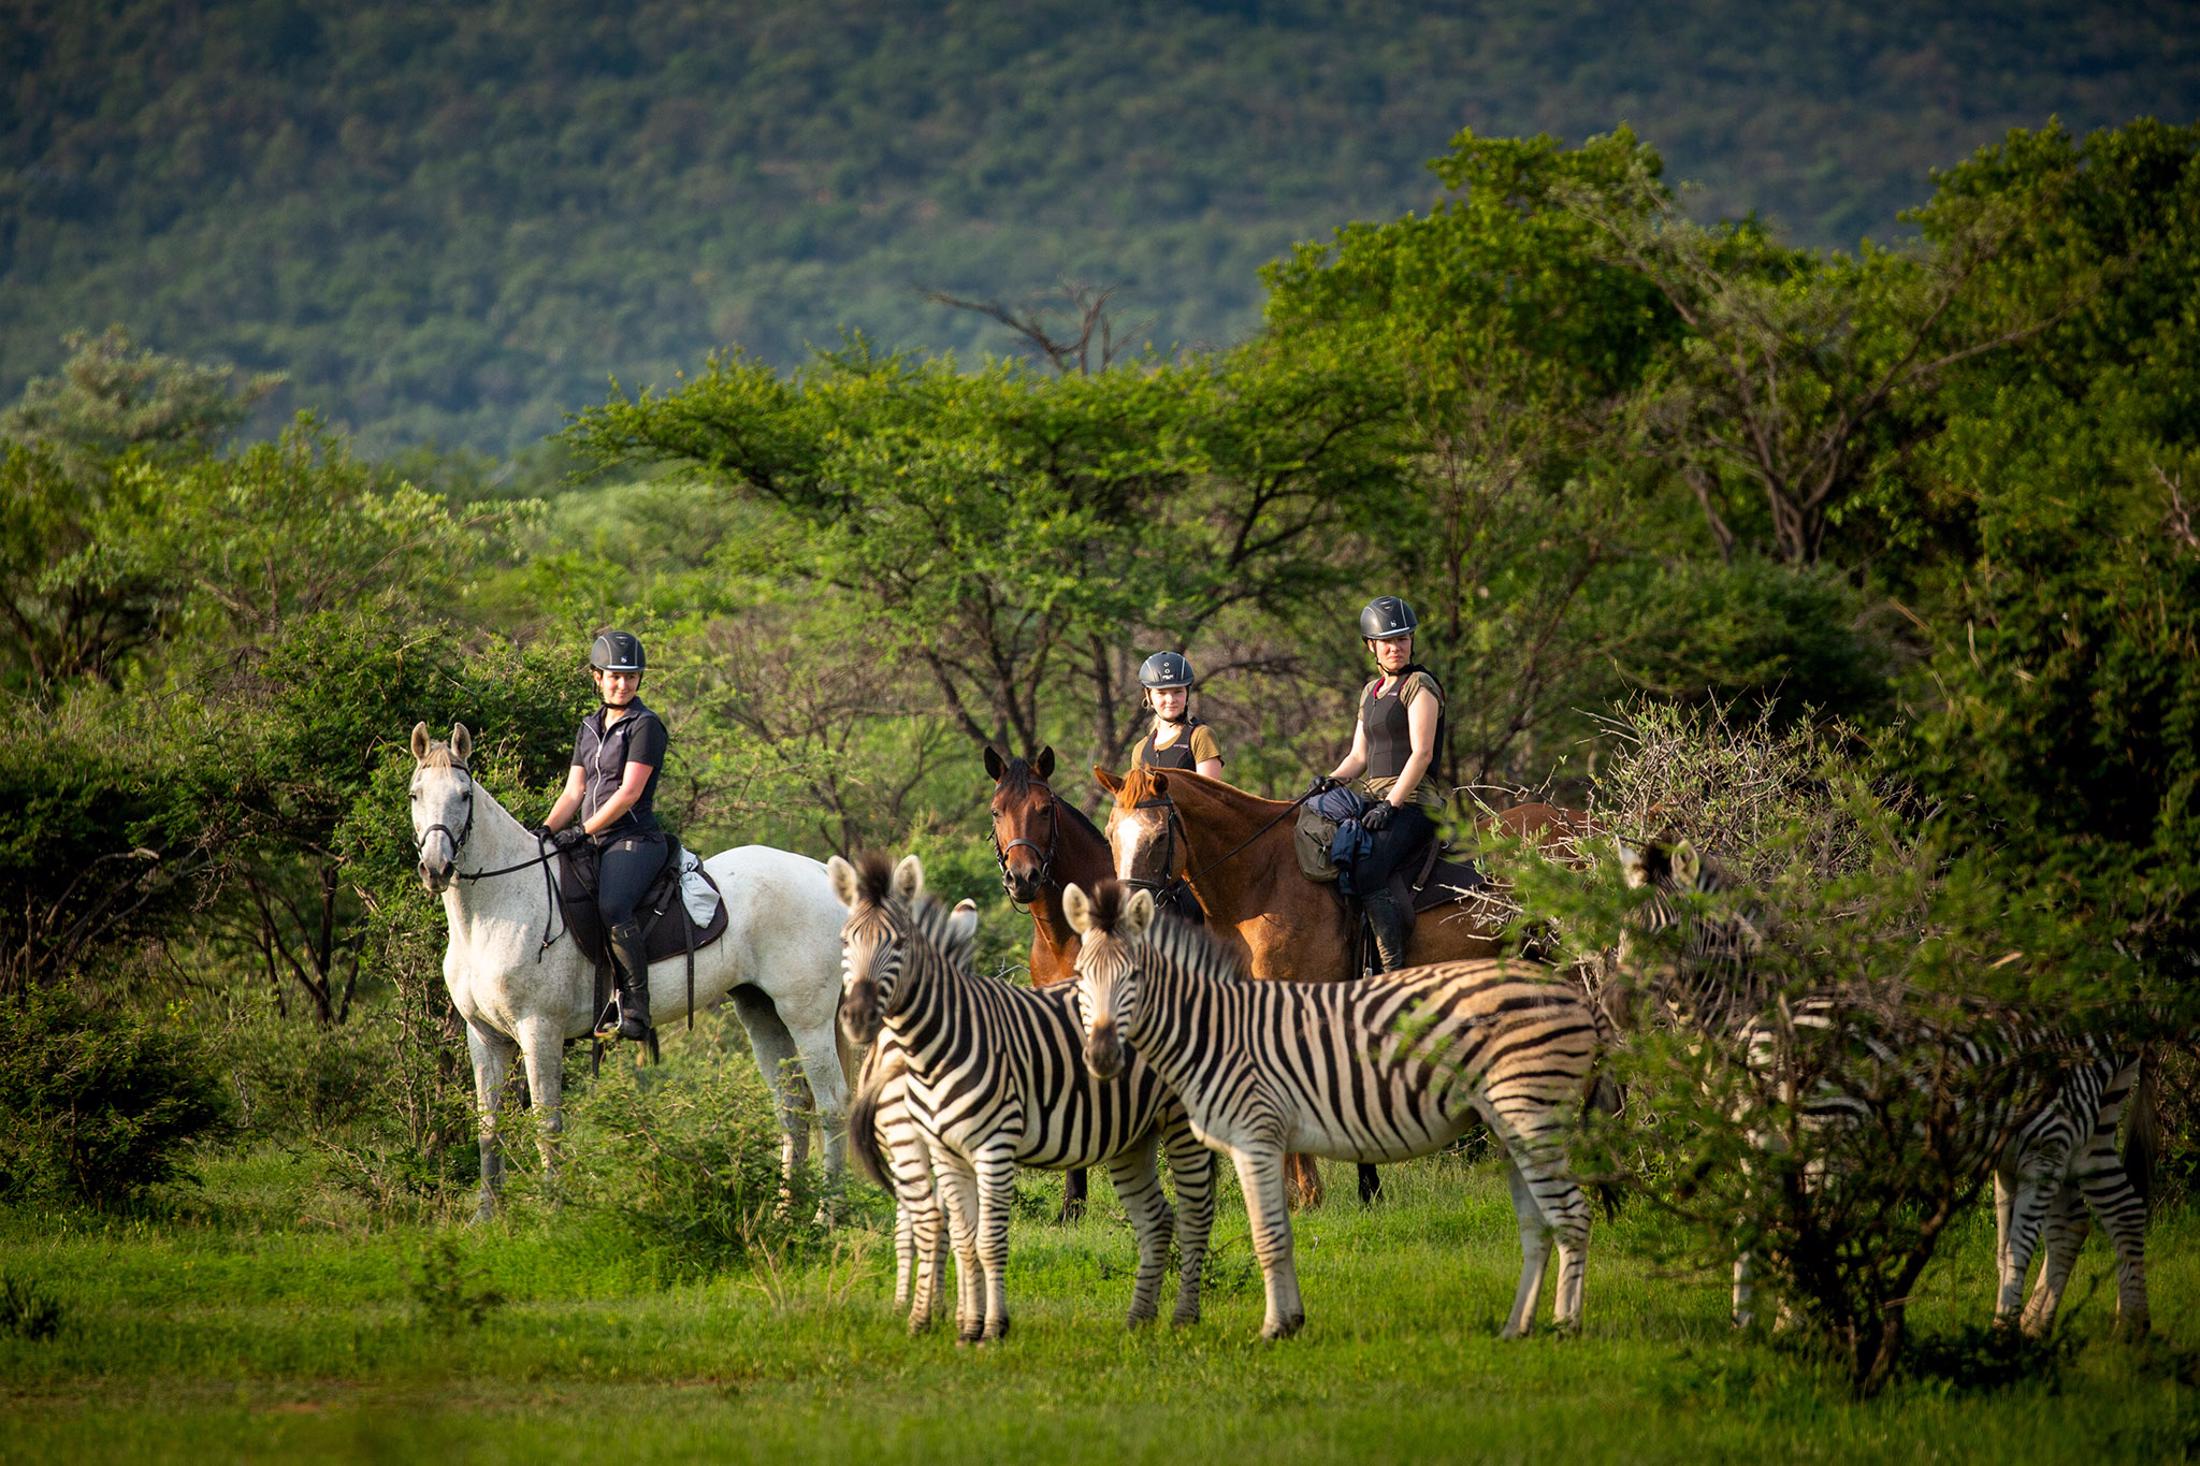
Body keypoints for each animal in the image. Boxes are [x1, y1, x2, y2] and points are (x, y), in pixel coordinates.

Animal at [826, 852, 1215, 1344]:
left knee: (1196, 1211)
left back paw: (1185, 1316)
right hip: (1133, 1135)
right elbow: (948, 1230)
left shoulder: (976, 1145)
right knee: (1159, 1218)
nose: (857, 1019)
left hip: (1180, 1123)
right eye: (844, 941)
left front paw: (972, 1321)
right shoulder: (931, 1146)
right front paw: (943, 1316)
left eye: (898, 944)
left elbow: (969, 1233)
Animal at [1063, 878, 1602, 1342]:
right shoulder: (1264, 1141)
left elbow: (1267, 1235)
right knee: (1536, 1225)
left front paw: (1272, 1329)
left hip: (1532, 1114)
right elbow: (1282, 1232)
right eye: (1081, 976)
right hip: (1510, 1121)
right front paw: (1292, 1321)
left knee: (1572, 1216)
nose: (1101, 1056)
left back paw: (1566, 1327)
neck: (1213, 1028)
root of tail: (1575, 994)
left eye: (1134, 976)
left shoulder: (1255, 1136)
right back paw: (1517, 1328)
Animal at [1613, 833, 2150, 1337]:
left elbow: (1790, 1231)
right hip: (2079, 1132)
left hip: (2076, 1128)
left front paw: (1785, 1323)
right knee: (2087, 1217)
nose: (1615, 1005)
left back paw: (2118, 1326)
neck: (1757, 1004)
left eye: (1668, 933)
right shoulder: (1756, 1139)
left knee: (2113, 1212)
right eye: (1620, 932)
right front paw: (1749, 1325)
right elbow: (1755, 1224)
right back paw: (2056, 1324)